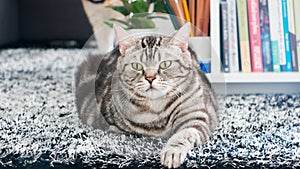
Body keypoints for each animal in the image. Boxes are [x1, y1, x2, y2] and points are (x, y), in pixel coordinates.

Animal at [75, 23, 218, 168]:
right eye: (137, 66)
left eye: (165, 64)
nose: (150, 78)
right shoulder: (114, 127)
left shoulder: (196, 118)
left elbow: (183, 135)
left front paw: (172, 153)